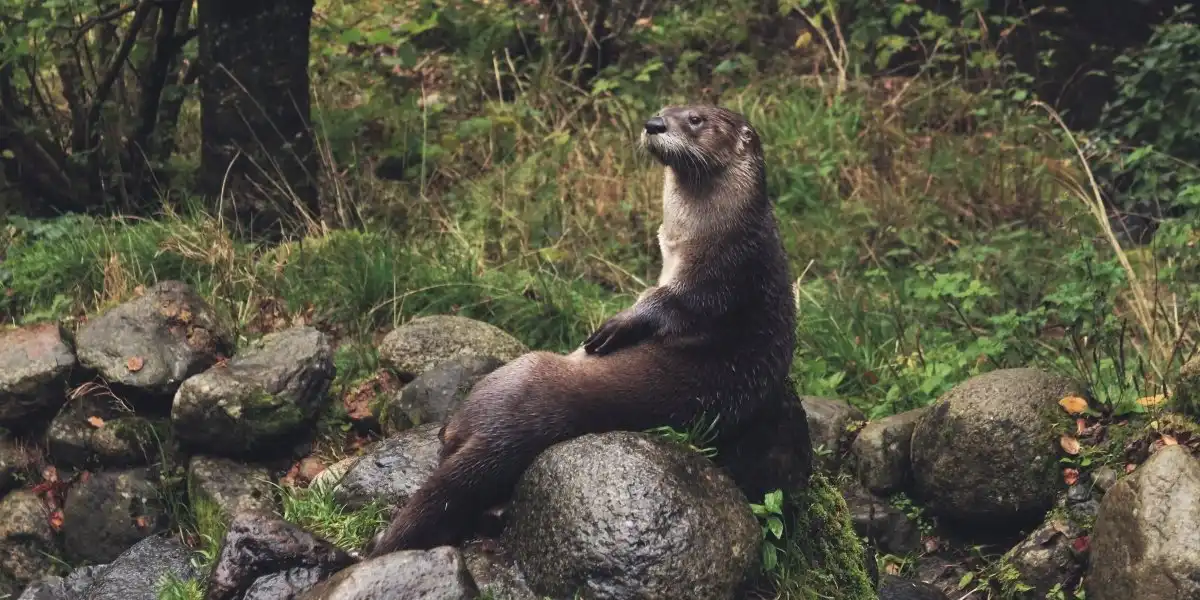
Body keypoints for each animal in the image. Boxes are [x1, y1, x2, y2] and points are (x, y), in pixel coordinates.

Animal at [369, 104, 797, 556]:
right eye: (665, 109)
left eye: (695, 119)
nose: (654, 124)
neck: (719, 231)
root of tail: (503, 433)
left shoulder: (721, 276)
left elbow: (670, 305)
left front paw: (616, 326)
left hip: (515, 373)